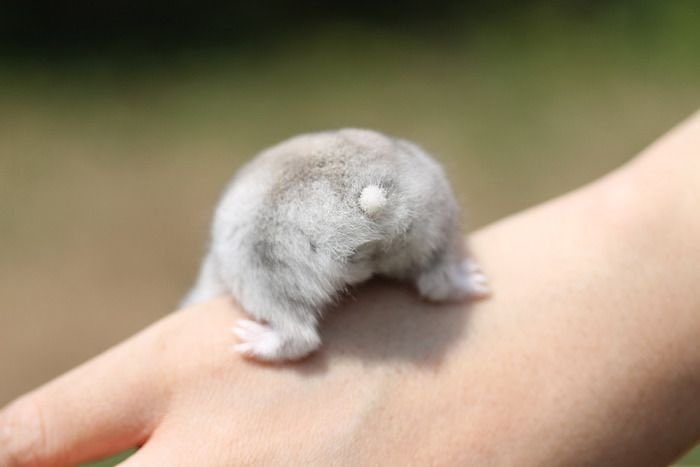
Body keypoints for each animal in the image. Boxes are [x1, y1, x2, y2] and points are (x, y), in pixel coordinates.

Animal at [183, 128, 489, 361]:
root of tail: (369, 196)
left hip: (257, 266)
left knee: (301, 336)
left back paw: (249, 340)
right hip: (438, 221)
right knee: (437, 284)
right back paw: (476, 283)